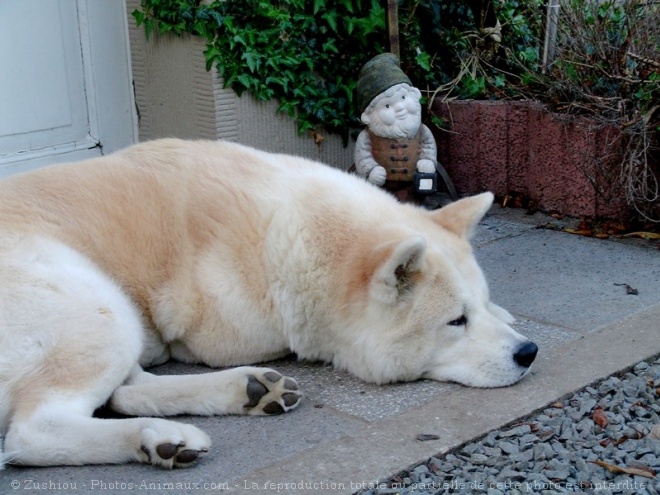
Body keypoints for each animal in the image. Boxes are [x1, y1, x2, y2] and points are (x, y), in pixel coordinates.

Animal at [0, 140, 536, 468]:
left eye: (478, 306)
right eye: (455, 321)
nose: (528, 353)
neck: (303, 230)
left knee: (125, 390)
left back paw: (244, 394)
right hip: (98, 305)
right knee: (34, 432)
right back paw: (157, 437)